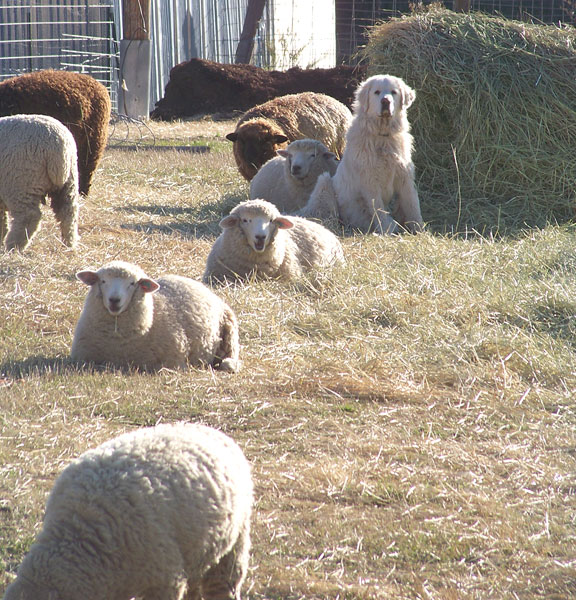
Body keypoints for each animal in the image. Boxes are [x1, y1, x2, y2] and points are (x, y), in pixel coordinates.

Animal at [0, 114, 80, 251]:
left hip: (20, 183)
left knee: (29, 216)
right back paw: (69, 244)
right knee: (68, 212)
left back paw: (13, 246)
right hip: (69, 182)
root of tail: (58, 146)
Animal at [71, 261, 240, 372]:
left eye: (132, 283)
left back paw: (229, 364)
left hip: (229, 331)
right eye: (103, 281)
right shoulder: (82, 357)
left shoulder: (172, 361)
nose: (114, 300)